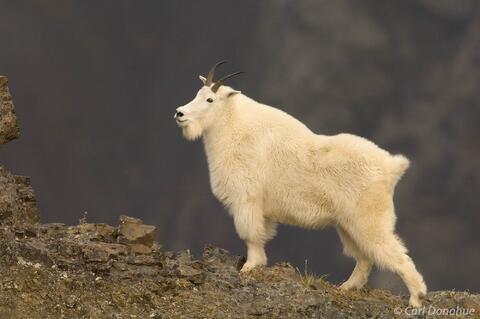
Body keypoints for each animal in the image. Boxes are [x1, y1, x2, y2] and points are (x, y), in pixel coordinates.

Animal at [174, 62, 426, 308]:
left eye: (210, 99)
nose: (179, 113)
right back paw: (347, 287)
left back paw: (417, 298)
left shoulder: (246, 198)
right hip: (347, 224)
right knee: (364, 257)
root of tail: (391, 167)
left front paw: (250, 266)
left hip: (369, 218)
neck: (233, 127)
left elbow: (250, 234)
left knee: (394, 254)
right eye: (197, 93)